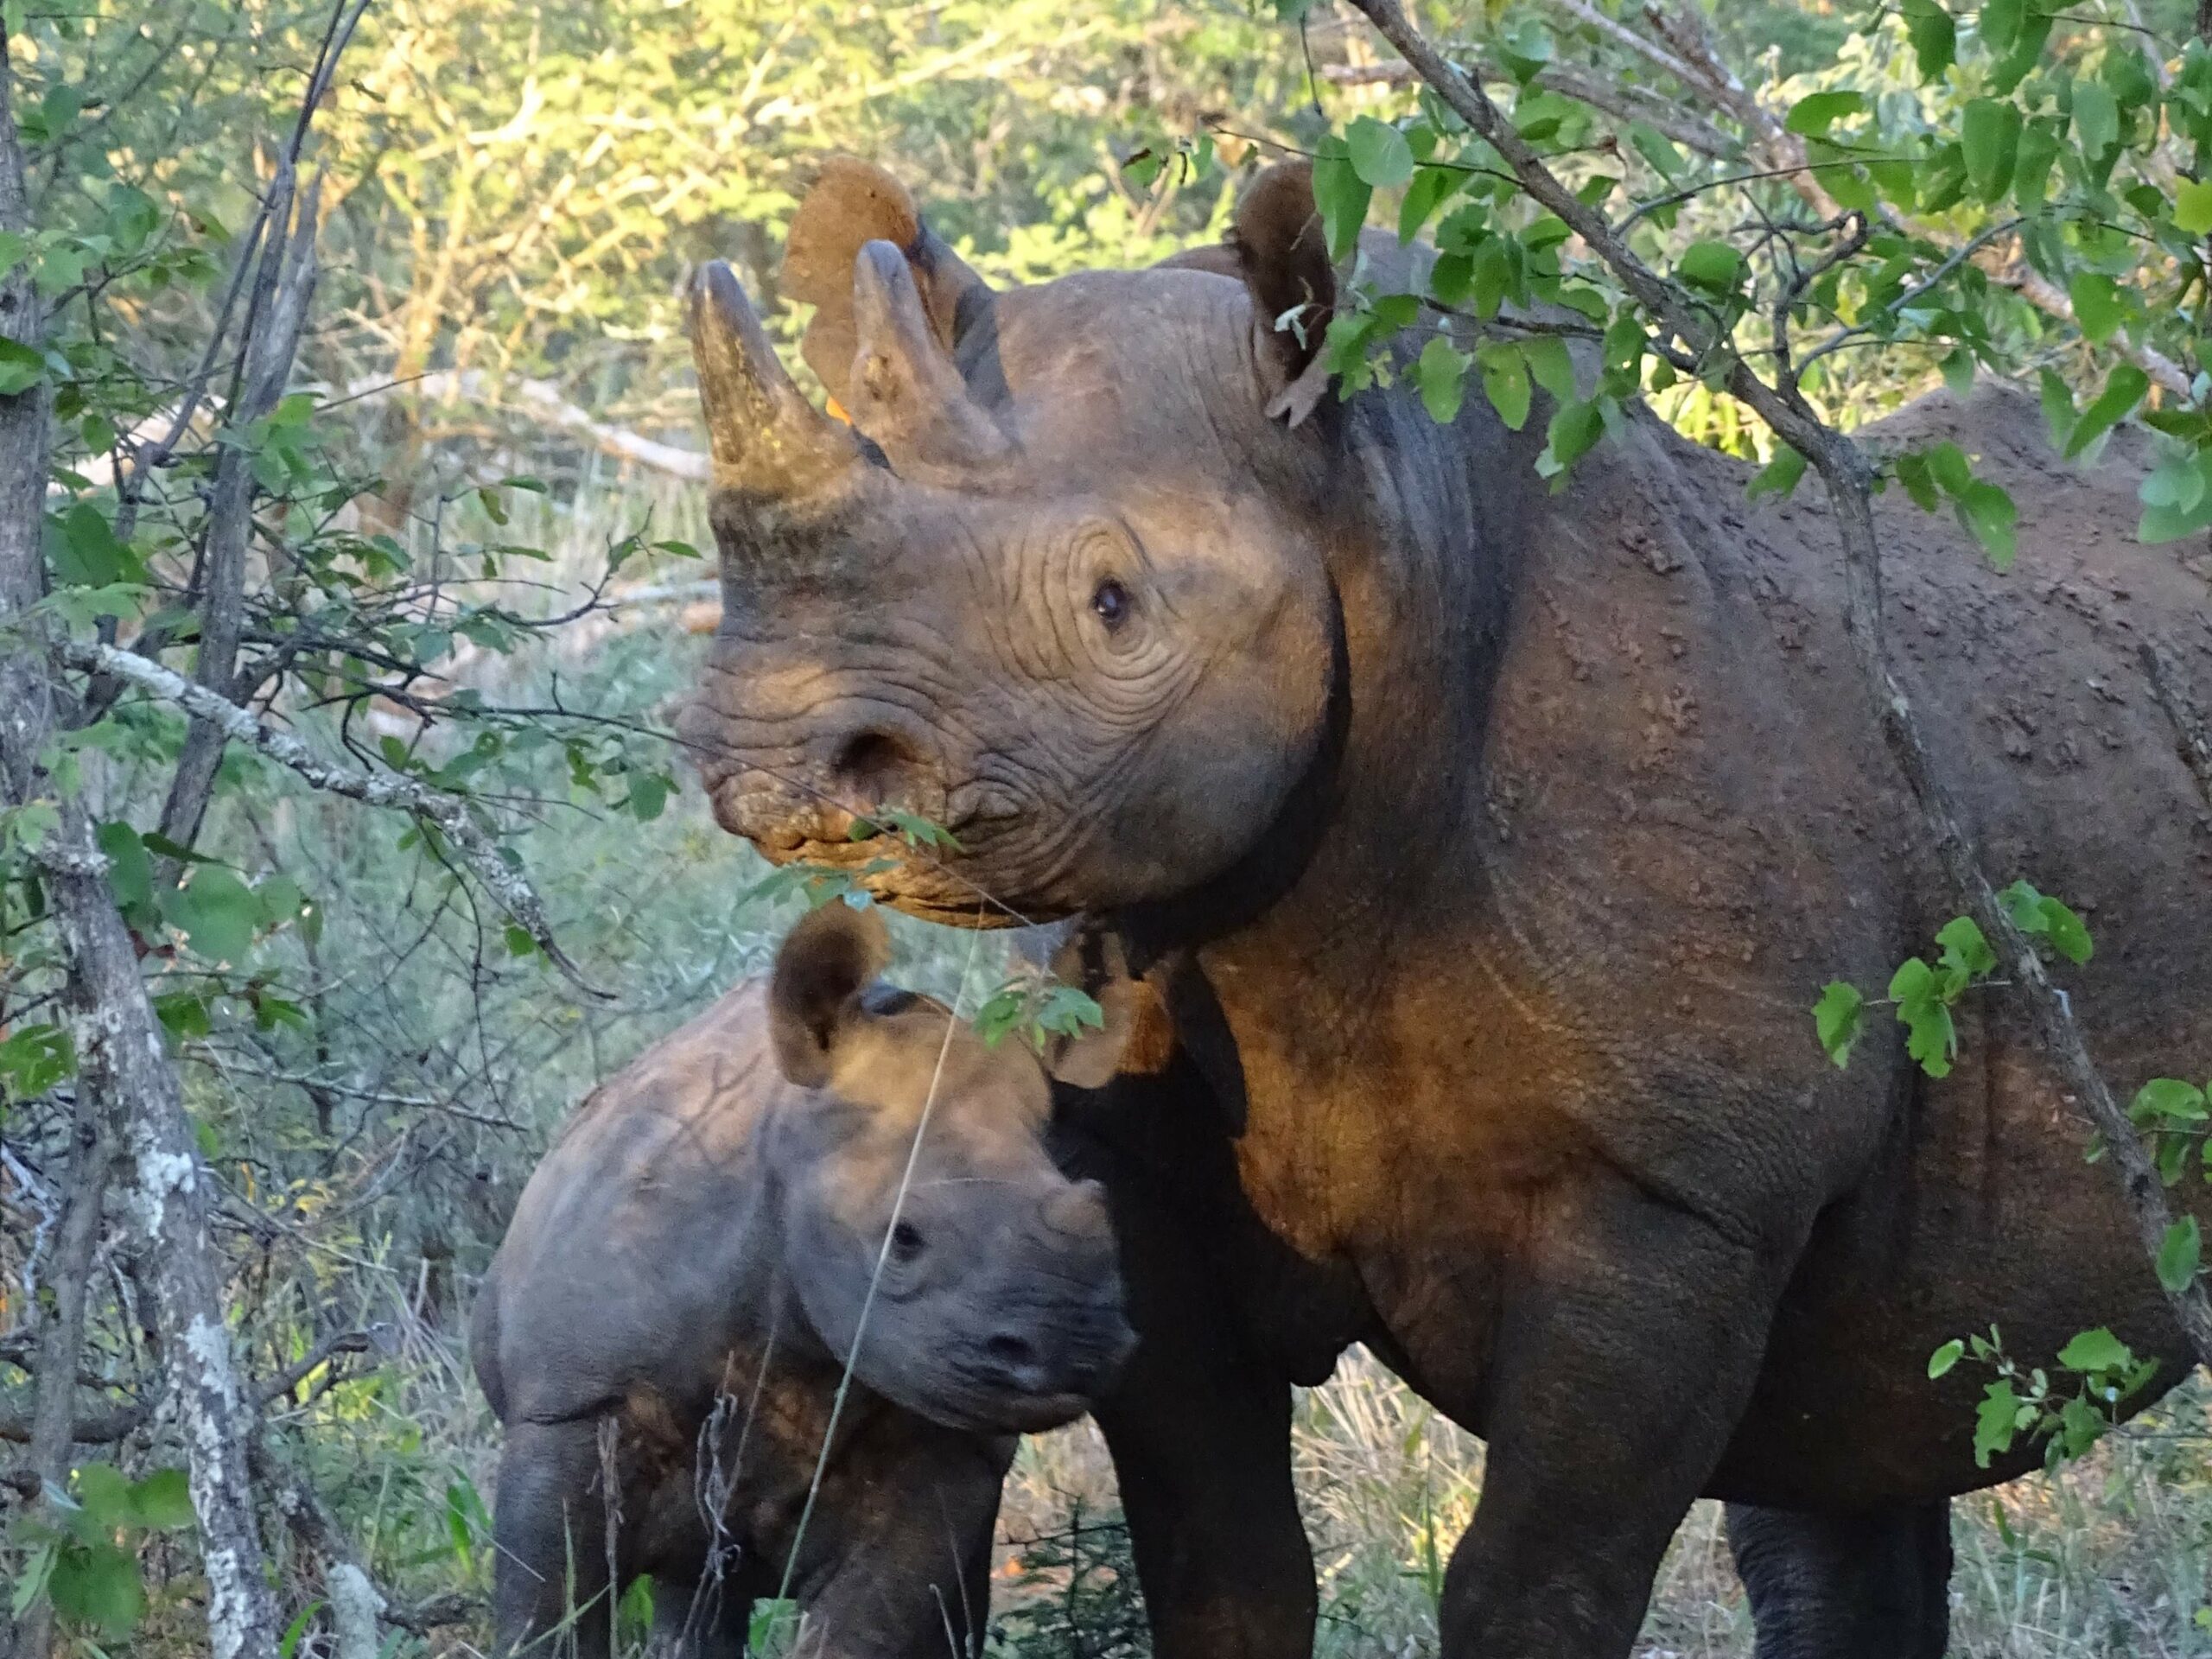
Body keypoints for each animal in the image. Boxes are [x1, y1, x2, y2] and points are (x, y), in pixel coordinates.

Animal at [464, 911, 1123, 1659]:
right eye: (902, 1240)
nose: (1075, 1341)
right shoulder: (569, 1405)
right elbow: (548, 1616)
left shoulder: (953, 1455)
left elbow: (871, 1627)